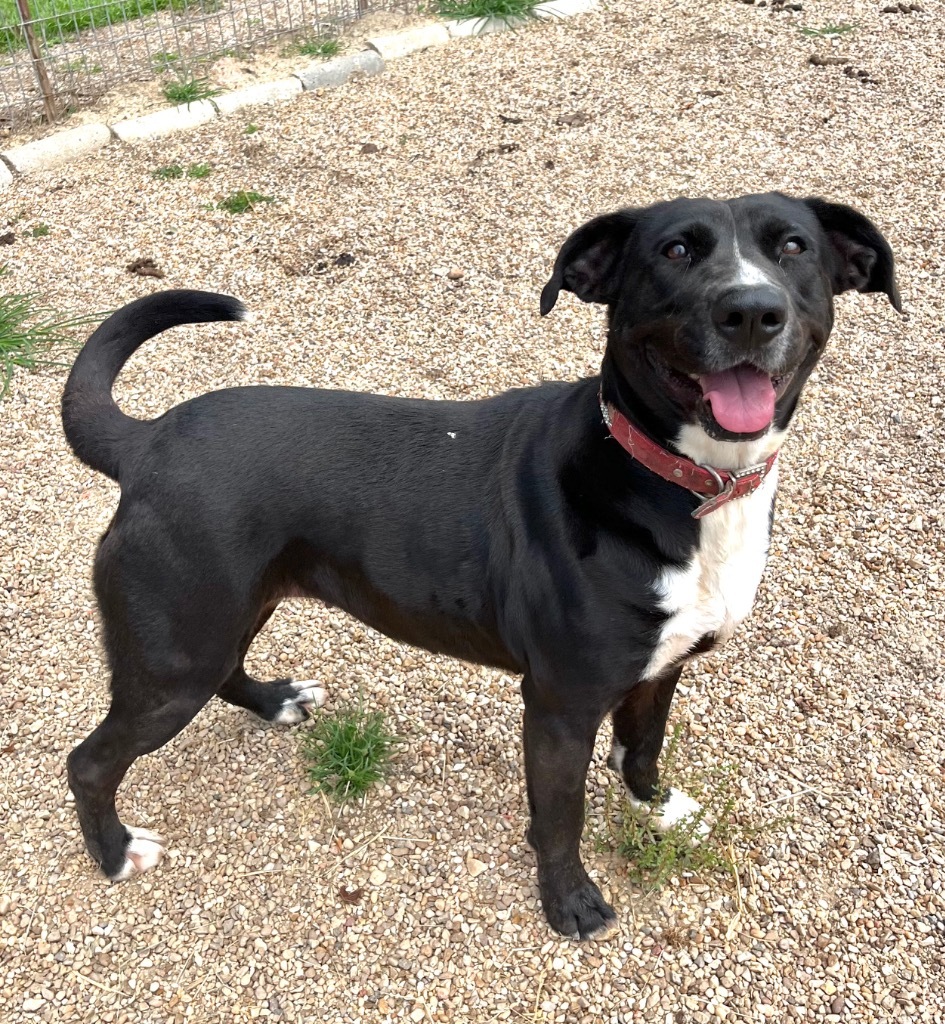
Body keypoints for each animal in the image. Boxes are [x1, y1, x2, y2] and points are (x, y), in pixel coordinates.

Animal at [60, 190, 900, 937]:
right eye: (674, 251)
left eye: (791, 246)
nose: (750, 311)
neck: (686, 484)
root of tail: (147, 443)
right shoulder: (559, 705)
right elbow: (559, 817)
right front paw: (569, 903)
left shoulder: (662, 667)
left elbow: (642, 749)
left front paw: (657, 808)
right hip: (177, 651)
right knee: (90, 761)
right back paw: (115, 852)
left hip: (221, 616)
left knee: (228, 671)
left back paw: (273, 701)